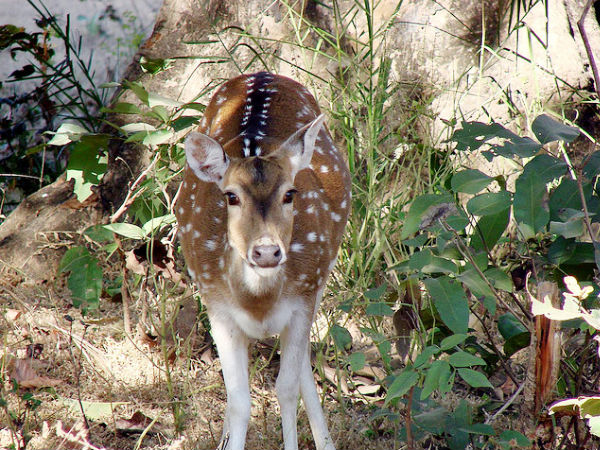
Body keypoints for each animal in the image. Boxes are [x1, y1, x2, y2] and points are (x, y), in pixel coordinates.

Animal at [175, 72, 352, 448]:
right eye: (230, 196)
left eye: (290, 193)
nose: (267, 251)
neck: (258, 303)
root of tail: (262, 74)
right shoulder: (216, 306)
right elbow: (239, 400)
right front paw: (229, 441)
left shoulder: (303, 298)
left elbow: (285, 390)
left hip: (322, 276)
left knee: (301, 366)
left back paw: (326, 442)